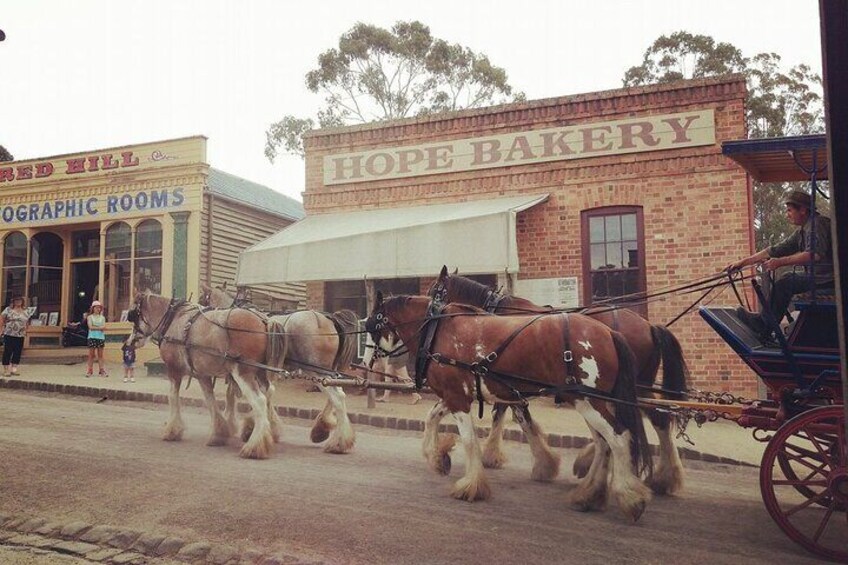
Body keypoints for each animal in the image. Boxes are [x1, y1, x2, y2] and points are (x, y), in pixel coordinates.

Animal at [125, 290, 284, 458]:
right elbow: (210, 400)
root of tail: (264, 320)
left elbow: (173, 397)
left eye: (132, 315)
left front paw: (172, 430)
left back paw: (254, 446)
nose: (128, 343)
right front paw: (218, 434)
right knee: (268, 392)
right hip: (260, 372)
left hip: (243, 372)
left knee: (259, 401)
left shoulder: (174, 370)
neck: (174, 320)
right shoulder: (202, 374)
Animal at [200, 282, 360, 454]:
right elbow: (265, 393)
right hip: (328, 371)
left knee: (337, 396)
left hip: (316, 370)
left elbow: (237, 394)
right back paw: (322, 430)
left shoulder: (242, 367)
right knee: (338, 393)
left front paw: (244, 426)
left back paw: (337, 441)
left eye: (202, 299)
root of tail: (329, 319)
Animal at [362, 294, 648, 524]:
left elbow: (469, 441)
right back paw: (588, 495)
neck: (438, 331)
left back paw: (630, 498)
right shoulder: (455, 395)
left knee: (618, 438)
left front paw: (470, 486)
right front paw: (438, 457)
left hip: (589, 401)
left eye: (371, 326)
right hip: (591, 402)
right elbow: (431, 417)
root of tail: (609, 333)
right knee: (603, 443)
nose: (365, 362)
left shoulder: (457, 398)